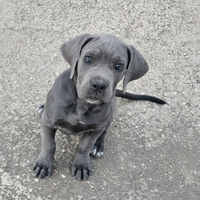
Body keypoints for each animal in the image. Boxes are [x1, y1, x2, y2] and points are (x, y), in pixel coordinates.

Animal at [33, 33, 166, 180]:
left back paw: (98, 146)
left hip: (108, 118)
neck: (82, 104)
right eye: (88, 58)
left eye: (119, 66)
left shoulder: (96, 129)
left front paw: (81, 165)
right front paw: (44, 164)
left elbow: (84, 146)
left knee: (105, 132)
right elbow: (49, 144)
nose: (99, 85)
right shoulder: (48, 122)